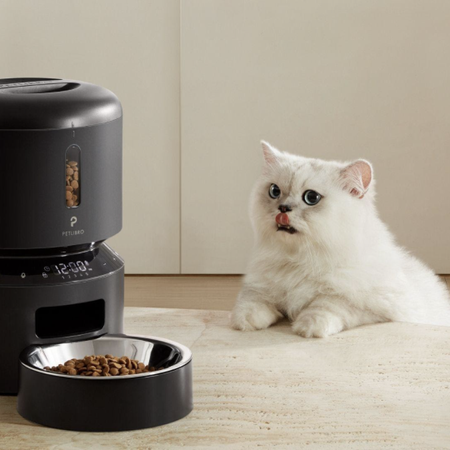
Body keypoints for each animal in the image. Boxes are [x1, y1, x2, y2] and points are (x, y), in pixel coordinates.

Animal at [230, 142, 450, 338]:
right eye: (274, 191)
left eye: (311, 198)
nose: (282, 208)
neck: (300, 259)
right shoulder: (258, 285)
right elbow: (252, 300)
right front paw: (244, 321)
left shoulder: (375, 307)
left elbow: (330, 303)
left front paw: (307, 328)